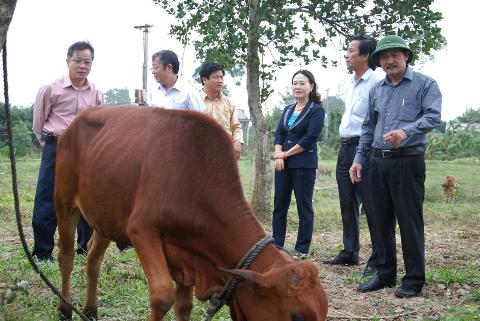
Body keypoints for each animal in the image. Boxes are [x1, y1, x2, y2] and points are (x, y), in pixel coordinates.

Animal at [55, 106, 326, 318]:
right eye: (298, 316)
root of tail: (74, 123)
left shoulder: (187, 258)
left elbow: (183, 306)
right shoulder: (142, 231)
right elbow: (162, 297)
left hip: (106, 217)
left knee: (93, 260)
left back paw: (90, 310)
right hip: (64, 204)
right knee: (66, 258)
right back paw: (65, 309)